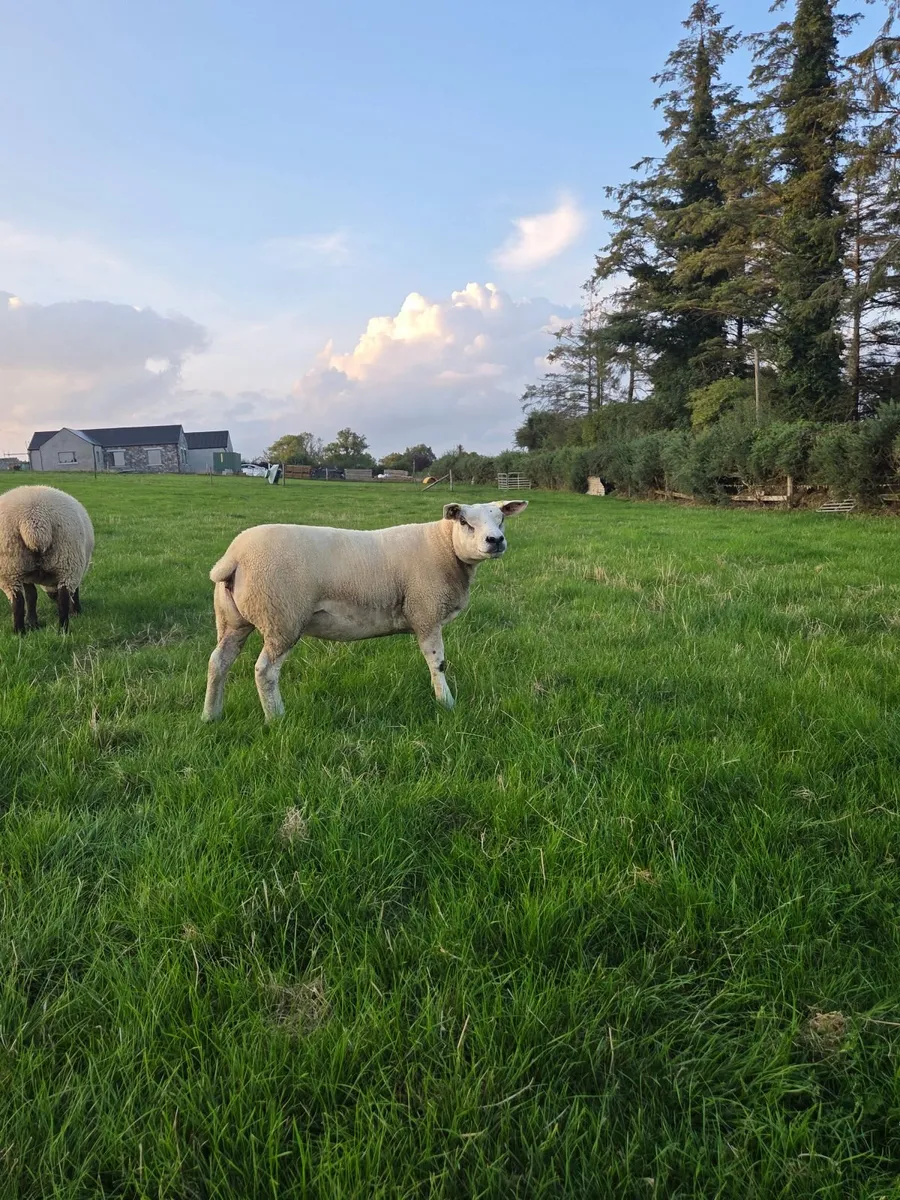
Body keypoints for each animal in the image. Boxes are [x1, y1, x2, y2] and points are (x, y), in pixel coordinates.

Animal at [0, 485, 94, 634]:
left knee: (18, 601)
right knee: (63, 598)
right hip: (66, 563)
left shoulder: (27, 575)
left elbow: (31, 596)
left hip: (11, 567)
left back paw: (20, 632)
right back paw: (61, 630)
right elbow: (32, 595)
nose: (52, 597)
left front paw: (32, 622)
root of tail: (34, 521)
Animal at [202, 499, 528, 722]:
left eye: (501, 519)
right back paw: (276, 718)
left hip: (233, 620)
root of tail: (233, 557)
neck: (445, 547)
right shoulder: (426, 612)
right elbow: (438, 664)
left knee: (218, 662)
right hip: (281, 617)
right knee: (265, 671)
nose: (495, 541)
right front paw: (446, 703)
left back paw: (211, 715)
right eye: (464, 522)